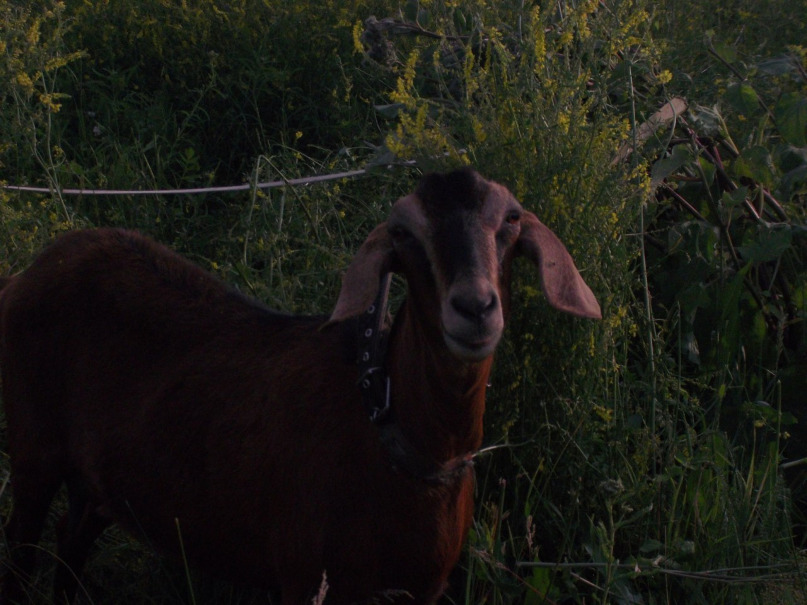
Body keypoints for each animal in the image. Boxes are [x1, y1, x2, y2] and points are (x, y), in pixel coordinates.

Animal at [0, 168, 601, 604]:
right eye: (403, 233)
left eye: (511, 220)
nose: (474, 307)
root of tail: (29, 272)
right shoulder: (306, 577)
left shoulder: (422, 589)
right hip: (33, 449)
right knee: (22, 552)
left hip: (100, 477)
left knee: (69, 540)